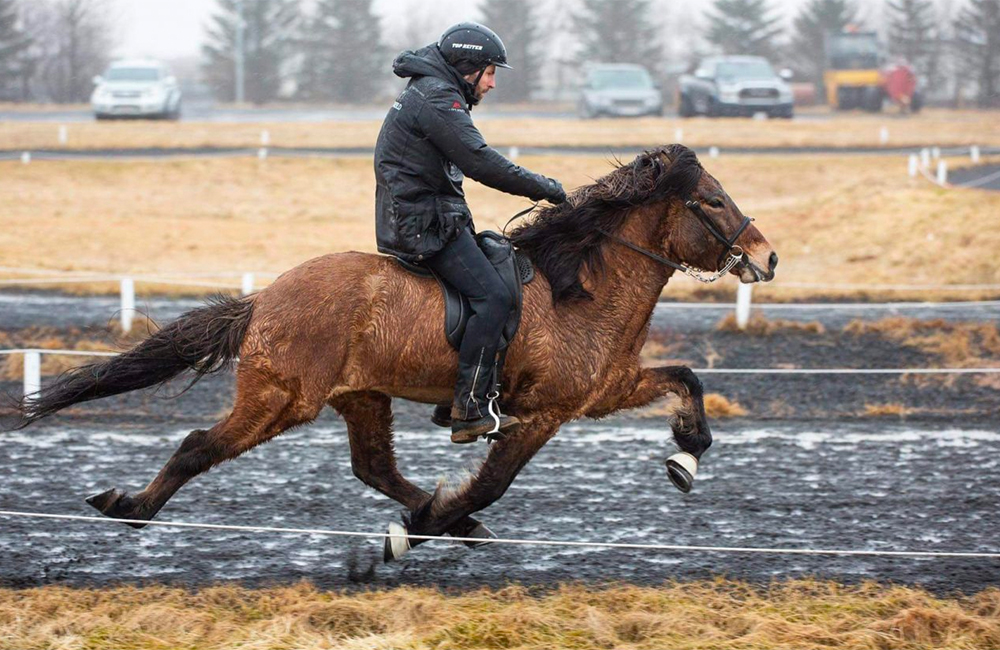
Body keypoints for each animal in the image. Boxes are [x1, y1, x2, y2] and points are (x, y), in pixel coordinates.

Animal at [3, 144, 776, 560]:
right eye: (711, 201)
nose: (767, 257)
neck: (578, 287)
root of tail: (266, 299)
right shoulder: (544, 413)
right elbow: (493, 479)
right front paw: (419, 532)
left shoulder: (604, 391)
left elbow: (687, 378)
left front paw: (685, 456)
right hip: (281, 398)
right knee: (200, 445)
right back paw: (130, 507)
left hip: (361, 396)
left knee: (373, 466)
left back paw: (451, 520)